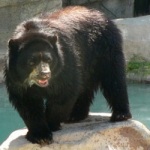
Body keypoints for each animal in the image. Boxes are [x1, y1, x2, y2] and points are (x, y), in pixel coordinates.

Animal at [3, 5, 131, 144]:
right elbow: (27, 102)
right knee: (85, 87)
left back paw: (120, 114)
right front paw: (40, 135)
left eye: (48, 59)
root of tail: (100, 14)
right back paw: (76, 115)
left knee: (113, 78)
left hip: (105, 47)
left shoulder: (65, 62)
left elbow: (64, 92)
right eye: (31, 61)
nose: (45, 74)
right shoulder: (15, 77)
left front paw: (51, 124)